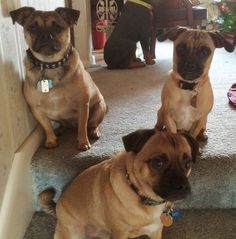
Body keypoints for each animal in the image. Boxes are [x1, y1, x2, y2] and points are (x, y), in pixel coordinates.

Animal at [10, 6, 107, 150]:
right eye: (33, 28)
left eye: (57, 28)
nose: (46, 35)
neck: (50, 64)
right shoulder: (36, 110)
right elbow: (47, 127)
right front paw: (51, 140)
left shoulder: (82, 105)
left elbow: (82, 127)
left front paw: (83, 142)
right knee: (63, 125)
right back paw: (59, 130)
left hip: (100, 107)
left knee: (92, 124)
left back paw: (94, 132)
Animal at [39, 129, 199, 239]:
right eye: (157, 163)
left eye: (188, 164)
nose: (184, 186)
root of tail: (57, 208)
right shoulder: (120, 233)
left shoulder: (155, 231)